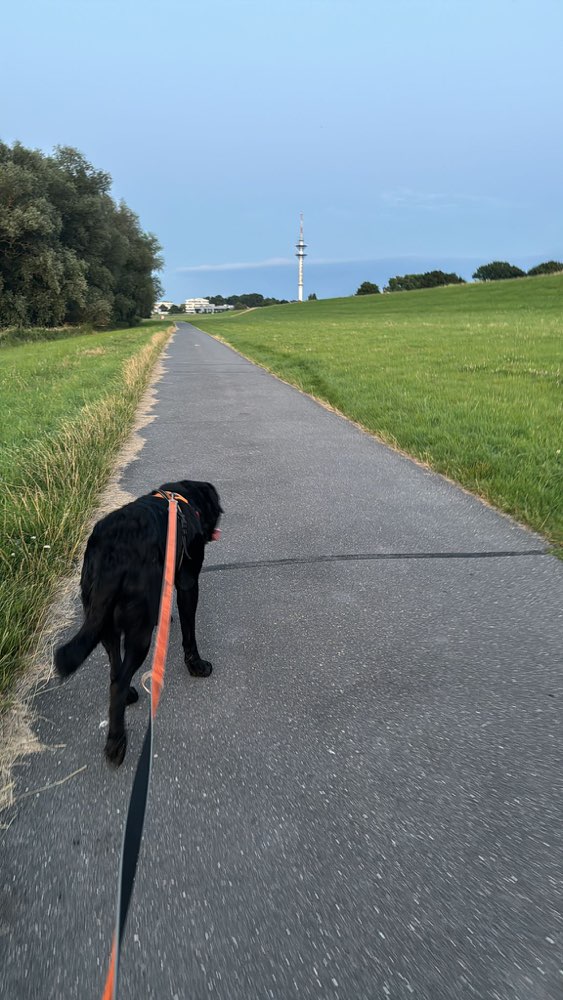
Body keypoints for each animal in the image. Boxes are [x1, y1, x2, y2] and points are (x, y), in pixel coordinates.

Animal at [54, 478, 223, 764]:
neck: (185, 500)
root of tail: (110, 556)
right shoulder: (188, 582)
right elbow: (189, 632)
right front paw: (197, 665)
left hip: (103, 622)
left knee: (114, 668)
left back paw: (130, 697)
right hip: (138, 631)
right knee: (118, 682)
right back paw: (116, 743)